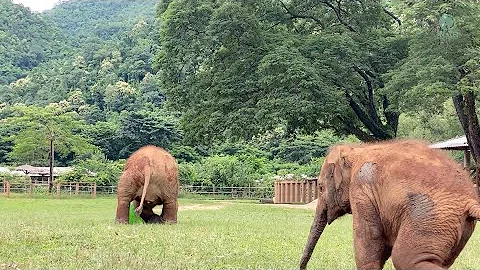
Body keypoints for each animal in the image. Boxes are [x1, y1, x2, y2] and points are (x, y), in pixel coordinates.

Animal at [300, 140, 480, 270]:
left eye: (320, 187)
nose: (303, 267)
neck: (355, 149)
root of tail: (471, 201)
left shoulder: (361, 191)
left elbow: (370, 239)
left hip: (431, 216)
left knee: (404, 258)